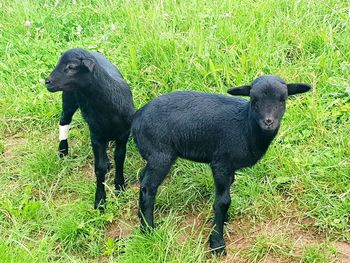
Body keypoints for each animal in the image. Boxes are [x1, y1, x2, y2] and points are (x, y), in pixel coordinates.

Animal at [44, 48, 134, 212]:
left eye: (71, 67)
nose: (47, 82)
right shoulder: (96, 136)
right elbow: (99, 168)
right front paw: (100, 201)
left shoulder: (123, 135)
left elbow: (119, 158)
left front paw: (120, 187)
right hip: (69, 97)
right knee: (64, 120)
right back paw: (63, 150)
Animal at [132, 75, 312, 256]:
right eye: (254, 100)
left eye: (283, 99)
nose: (268, 122)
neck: (245, 127)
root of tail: (138, 117)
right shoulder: (221, 163)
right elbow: (223, 201)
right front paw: (217, 242)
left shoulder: (230, 168)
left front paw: (224, 220)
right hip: (160, 153)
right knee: (148, 187)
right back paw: (148, 229)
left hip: (154, 155)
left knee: (142, 178)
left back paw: (141, 216)